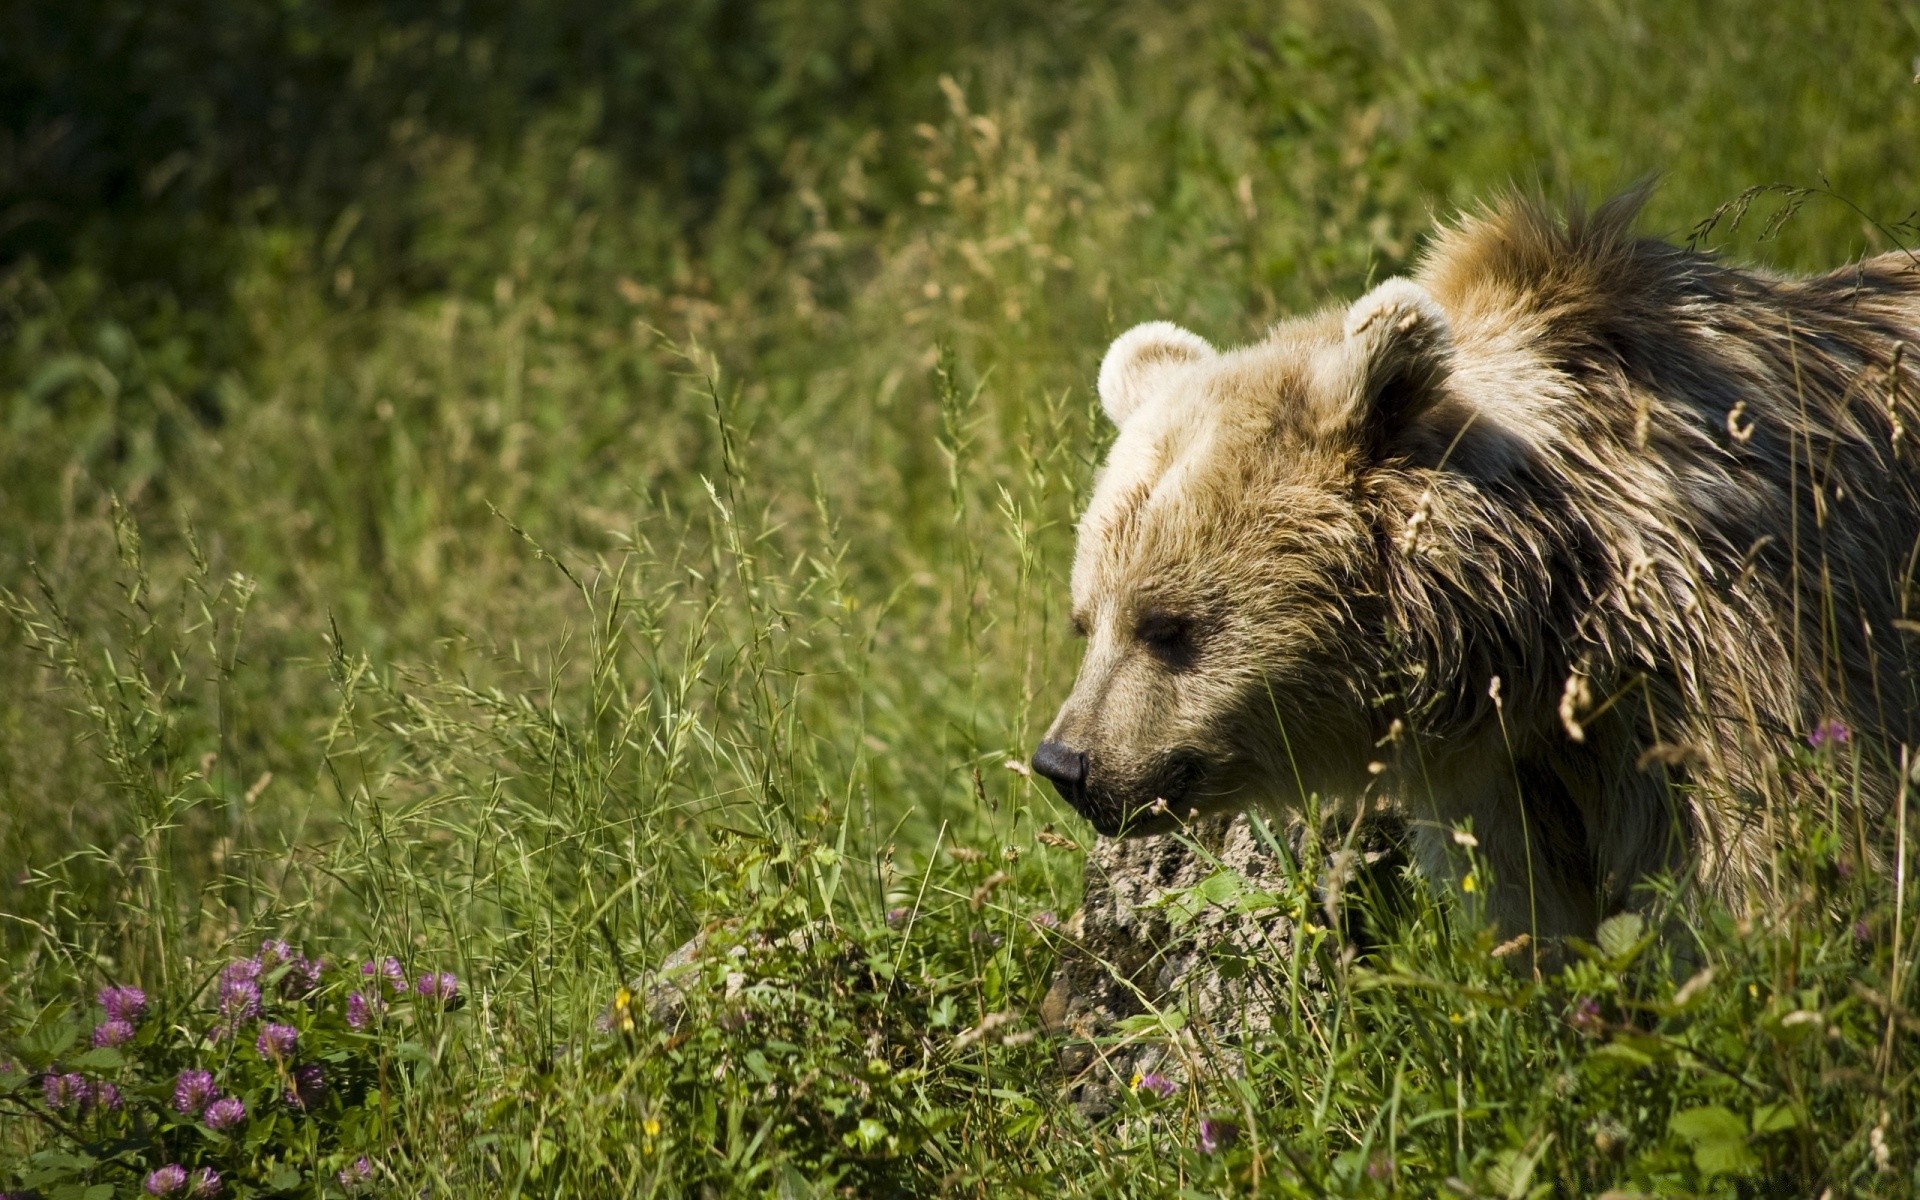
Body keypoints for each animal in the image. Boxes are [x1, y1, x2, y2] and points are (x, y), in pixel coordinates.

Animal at [1036, 192, 1920, 936]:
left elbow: (1772, 856)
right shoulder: (1511, 777)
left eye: (1167, 626)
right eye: (1085, 621)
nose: (1066, 763)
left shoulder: (1749, 649)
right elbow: (1535, 916)